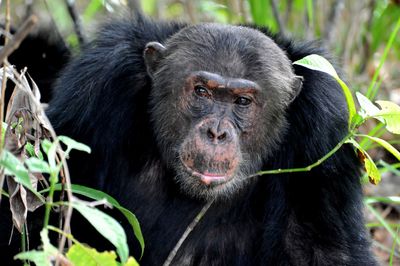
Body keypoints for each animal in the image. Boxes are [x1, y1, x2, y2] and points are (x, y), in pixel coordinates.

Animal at [2, 15, 378, 264]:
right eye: (202, 92)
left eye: (243, 101)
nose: (217, 132)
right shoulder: (98, 83)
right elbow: (41, 207)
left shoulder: (324, 124)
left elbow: (320, 248)